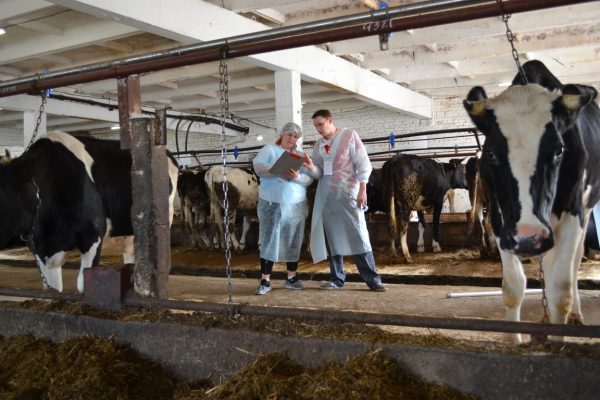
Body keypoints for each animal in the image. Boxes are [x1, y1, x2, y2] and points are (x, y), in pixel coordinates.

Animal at [464, 57, 600, 342]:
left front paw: (559, 342)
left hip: (585, 209)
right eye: (490, 153)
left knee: (573, 263)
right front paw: (514, 342)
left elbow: (561, 290)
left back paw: (575, 314)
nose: (528, 237)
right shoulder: (501, 221)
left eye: (559, 150)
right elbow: (513, 287)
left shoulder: (573, 213)